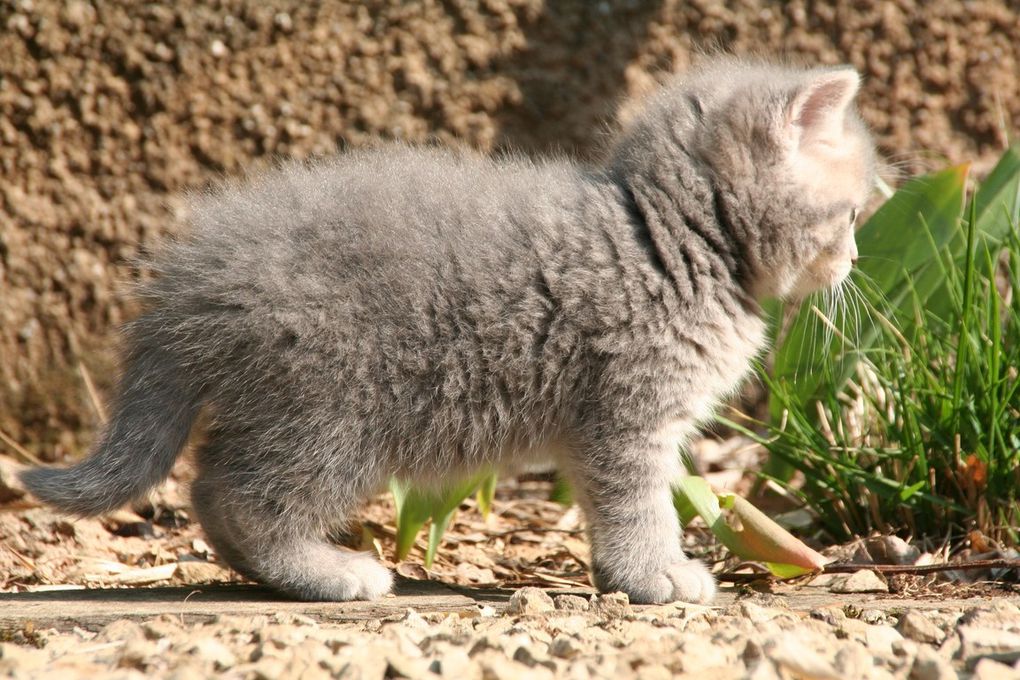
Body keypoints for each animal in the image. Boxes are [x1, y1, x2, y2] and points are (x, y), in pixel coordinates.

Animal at [21, 55, 877, 603]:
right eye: (852, 214)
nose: (858, 257)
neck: (662, 239)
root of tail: (196, 273)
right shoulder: (629, 411)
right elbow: (641, 502)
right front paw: (657, 574)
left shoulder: (601, 425)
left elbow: (610, 504)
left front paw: (623, 575)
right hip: (332, 408)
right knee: (238, 496)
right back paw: (329, 574)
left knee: (210, 489)